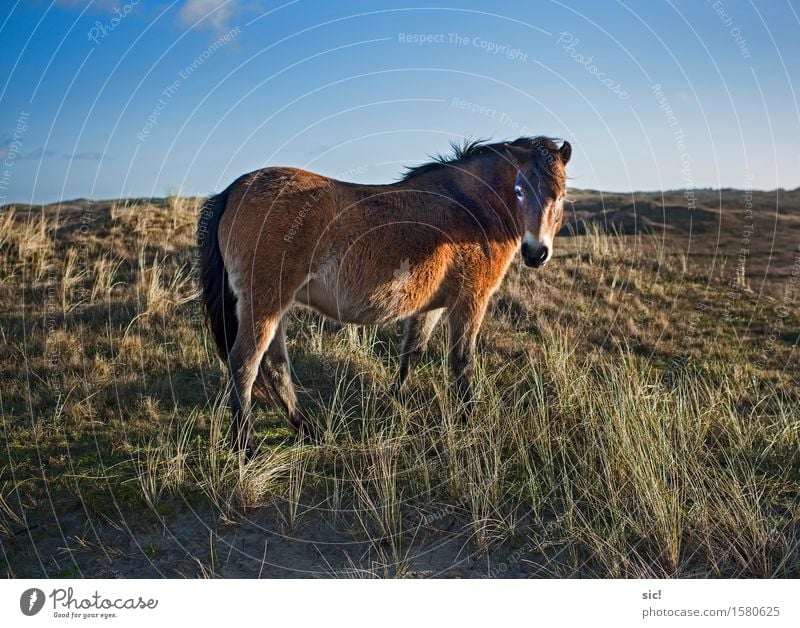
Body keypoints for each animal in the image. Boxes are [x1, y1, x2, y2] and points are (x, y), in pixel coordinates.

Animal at [198, 136, 572, 456]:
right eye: (520, 191)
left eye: (559, 195)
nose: (536, 252)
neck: (470, 207)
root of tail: (234, 190)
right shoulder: (470, 303)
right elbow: (462, 361)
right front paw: (468, 419)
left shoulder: (432, 307)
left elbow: (413, 352)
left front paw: (396, 399)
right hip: (265, 305)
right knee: (245, 363)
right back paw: (245, 445)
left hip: (276, 307)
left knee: (275, 365)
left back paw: (307, 429)